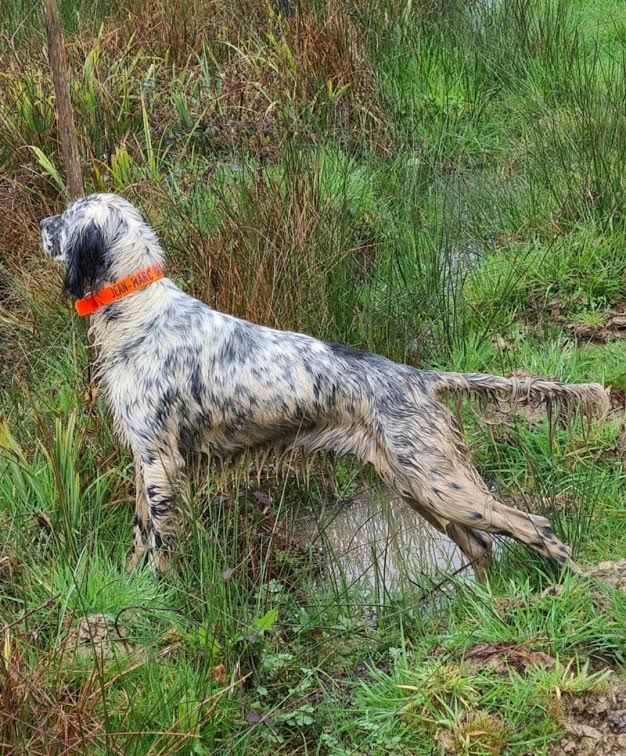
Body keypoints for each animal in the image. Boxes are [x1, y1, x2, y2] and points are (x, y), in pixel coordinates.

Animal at [41, 193, 608, 572]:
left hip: (440, 484)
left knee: (533, 526)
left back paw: (578, 582)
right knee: (484, 545)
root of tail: (419, 378)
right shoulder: (144, 460)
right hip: (415, 486)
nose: (42, 222)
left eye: (68, 216)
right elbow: (140, 536)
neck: (138, 310)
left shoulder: (160, 461)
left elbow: (157, 542)